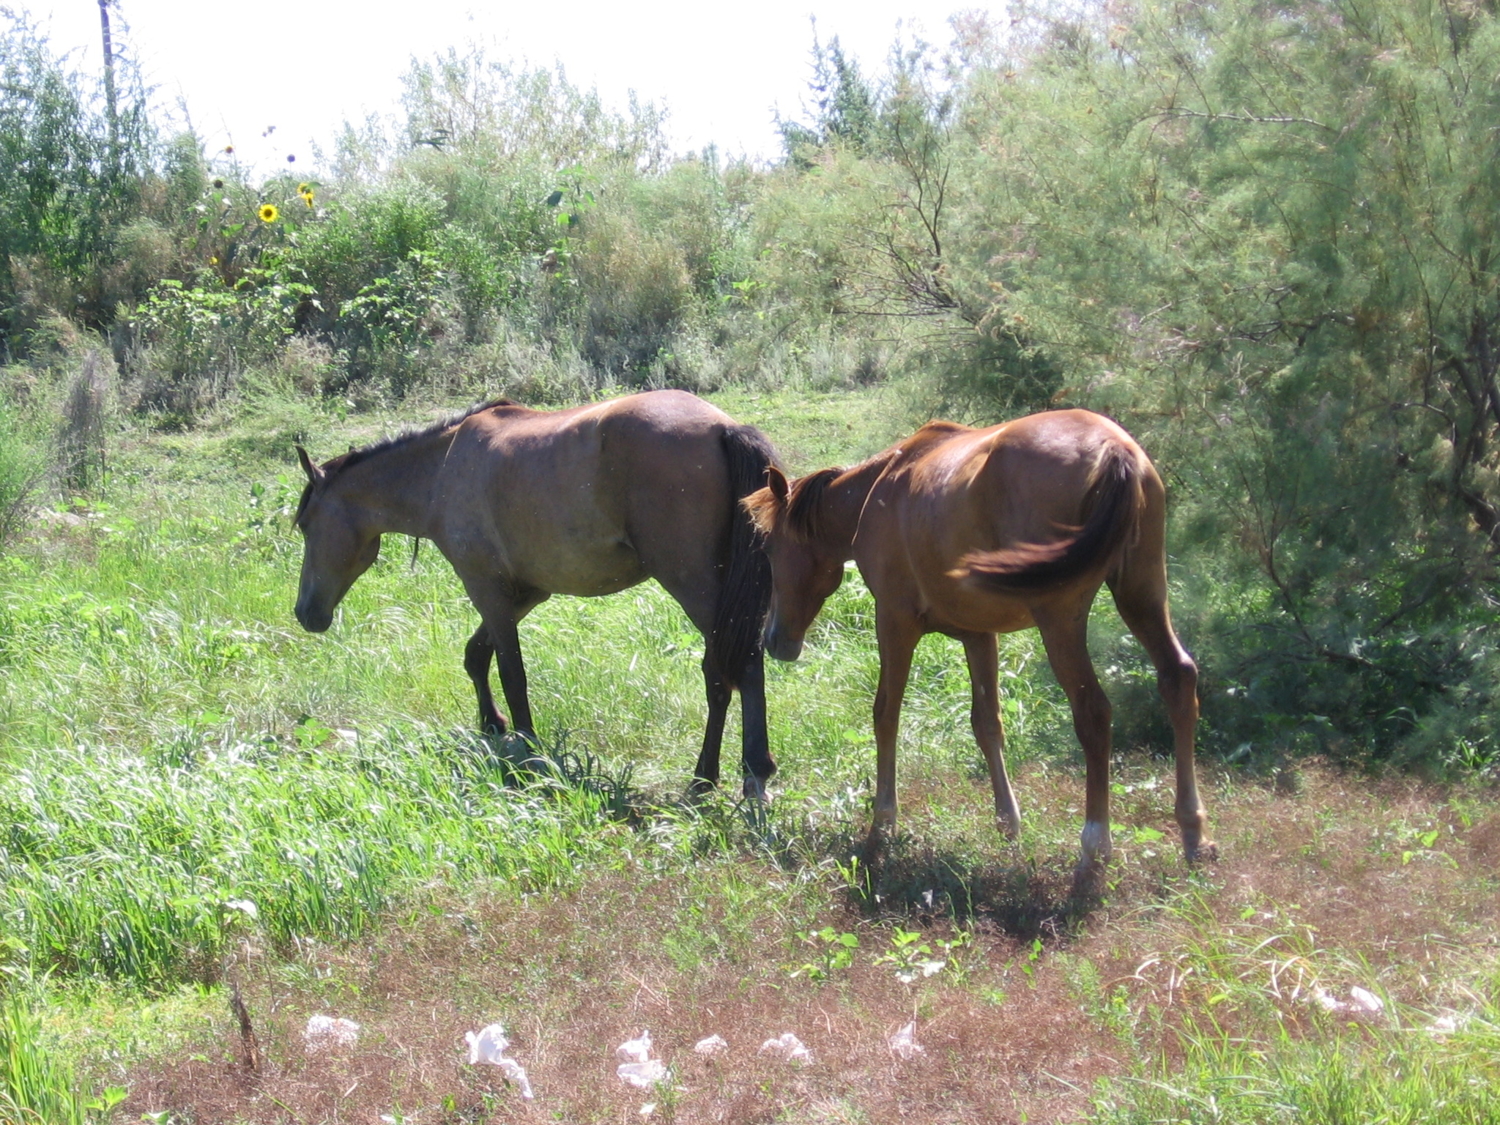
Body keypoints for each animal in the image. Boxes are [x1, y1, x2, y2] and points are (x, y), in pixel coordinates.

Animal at [295, 393, 786, 798]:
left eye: (303, 525)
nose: (305, 612)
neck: (441, 470)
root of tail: (724, 427)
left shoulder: (485, 587)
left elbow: (512, 673)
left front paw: (528, 754)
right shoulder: (527, 592)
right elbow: (476, 655)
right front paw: (492, 726)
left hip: (697, 589)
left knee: (734, 668)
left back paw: (739, 774)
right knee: (725, 673)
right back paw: (714, 776)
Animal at [744, 411, 1212, 888]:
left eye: (768, 546)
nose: (773, 640)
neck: (877, 492)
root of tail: (1113, 448)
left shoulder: (894, 621)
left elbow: (885, 714)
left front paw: (882, 824)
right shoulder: (978, 634)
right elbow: (987, 723)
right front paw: (1008, 825)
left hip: (1061, 620)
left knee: (1093, 712)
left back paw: (1094, 849)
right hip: (1142, 593)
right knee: (1177, 679)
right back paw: (1193, 831)